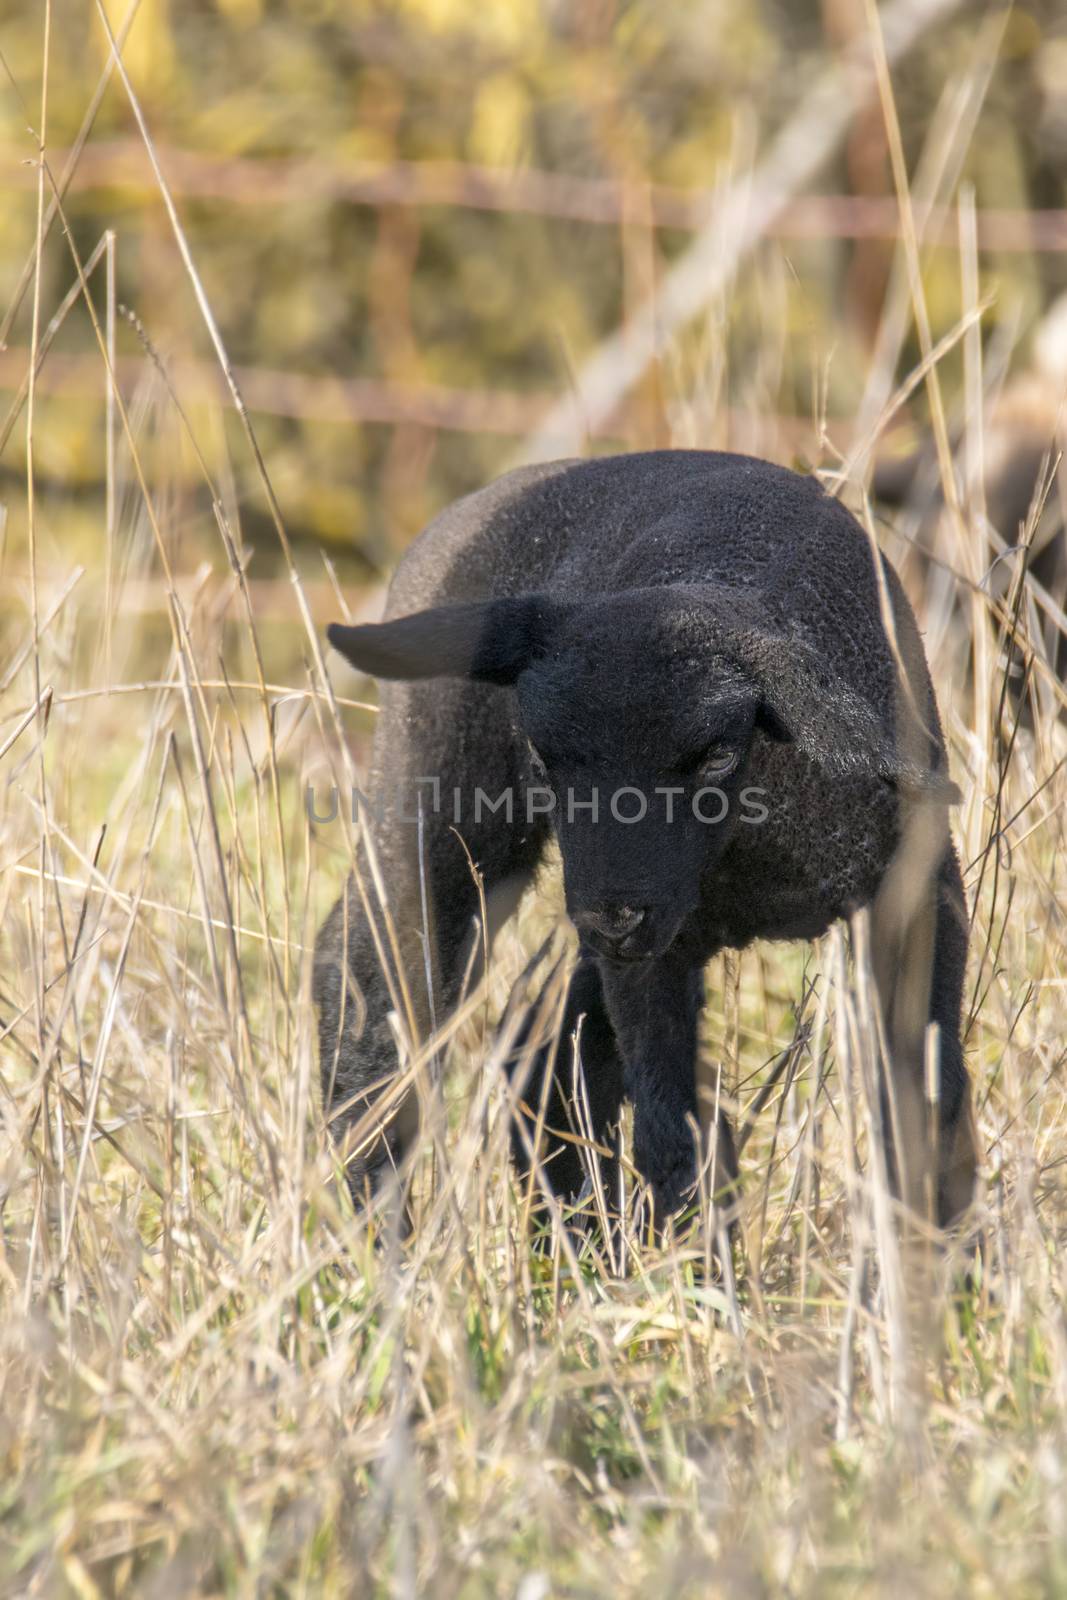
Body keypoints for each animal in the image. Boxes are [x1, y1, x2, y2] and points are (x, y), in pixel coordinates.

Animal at [313, 457, 979, 1228]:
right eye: (542, 757)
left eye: (717, 754)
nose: (612, 916)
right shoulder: (652, 953)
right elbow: (670, 1133)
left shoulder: (920, 898)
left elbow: (924, 1102)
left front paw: (930, 1248)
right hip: (445, 811)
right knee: (373, 977)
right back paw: (370, 1218)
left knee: (543, 1059)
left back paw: (568, 1237)